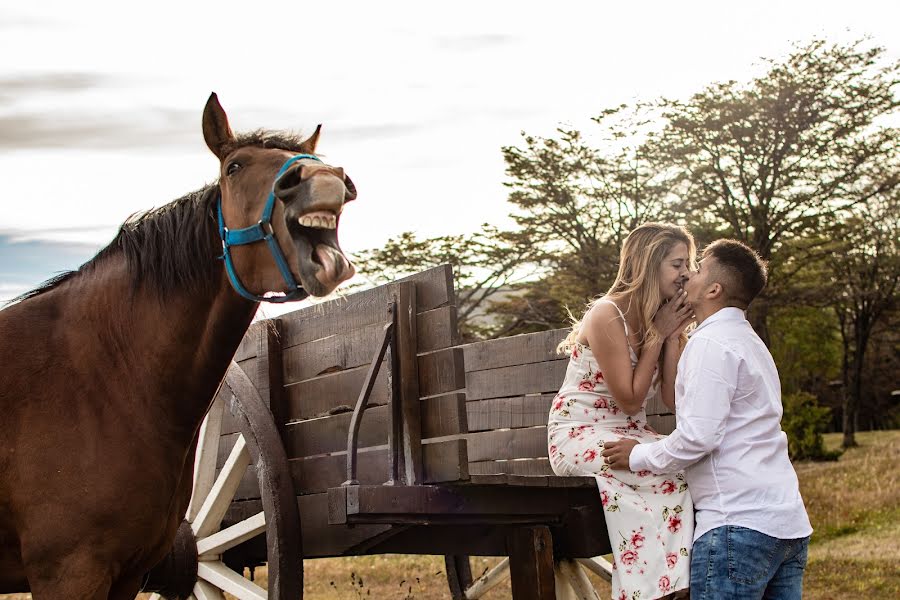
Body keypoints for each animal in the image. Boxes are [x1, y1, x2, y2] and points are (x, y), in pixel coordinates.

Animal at [0, 94, 358, 600]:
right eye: (234, 166)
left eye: (313, 160)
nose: (323, 180)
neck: (101, 374)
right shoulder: (68, 572)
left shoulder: (128, 574)